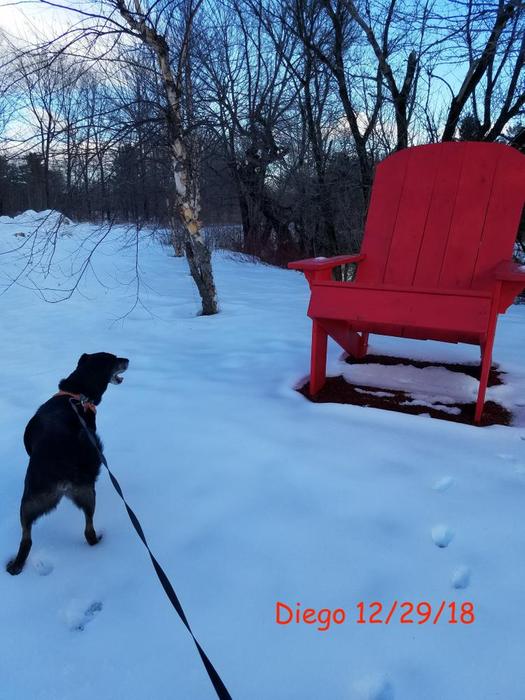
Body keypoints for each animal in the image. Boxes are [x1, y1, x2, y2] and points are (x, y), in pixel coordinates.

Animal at [6, 350, 128, 576]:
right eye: (115, 359)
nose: (128, 360)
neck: (77, 394)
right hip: (85, 493)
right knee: (87, 531)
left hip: (30, 502)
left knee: (27, 538)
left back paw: (16, 565)